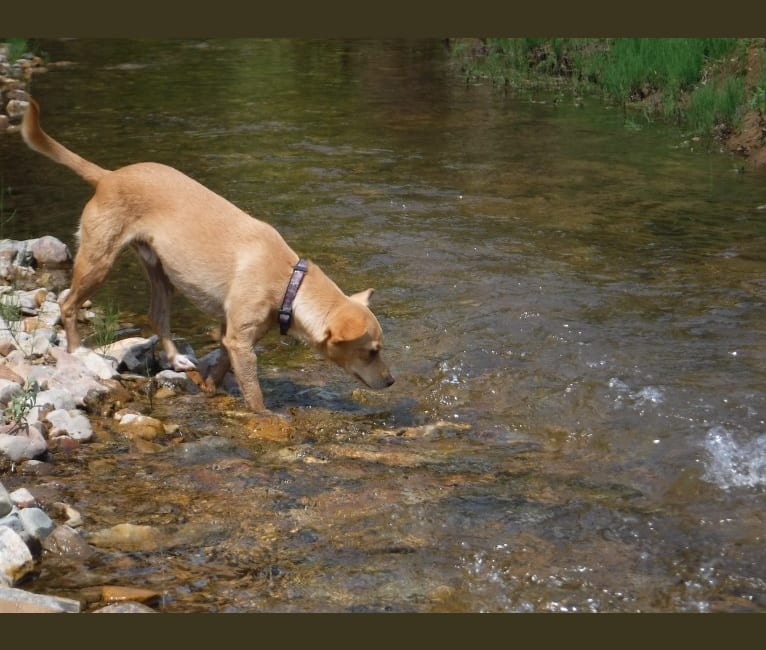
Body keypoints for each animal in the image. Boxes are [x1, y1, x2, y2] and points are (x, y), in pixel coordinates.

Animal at [21, 97, 396, 410]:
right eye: (371, 352)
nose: (392, 380)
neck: (290, 282)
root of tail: (108, 177)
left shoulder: (235, 335)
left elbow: (222, 365)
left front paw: (210, 388)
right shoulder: (241, 341)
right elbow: (254, 394)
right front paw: (268, 420)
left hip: (161, 272)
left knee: (157, 315)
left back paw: (177, 361)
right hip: (98, 261)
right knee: (68, 303)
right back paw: (76, 352)